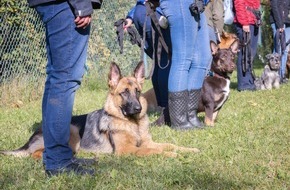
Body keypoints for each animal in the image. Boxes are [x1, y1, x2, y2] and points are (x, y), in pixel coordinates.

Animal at [0, 61, 198, 158]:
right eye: (124, 93)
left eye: (137, 91)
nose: (138, 108)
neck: (132, 124)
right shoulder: (126, 150)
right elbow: (152, 151)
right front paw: (170, 154)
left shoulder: (148, 142)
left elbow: (169, 144)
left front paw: (188, 149)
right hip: (72, 131)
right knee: (37, 155)